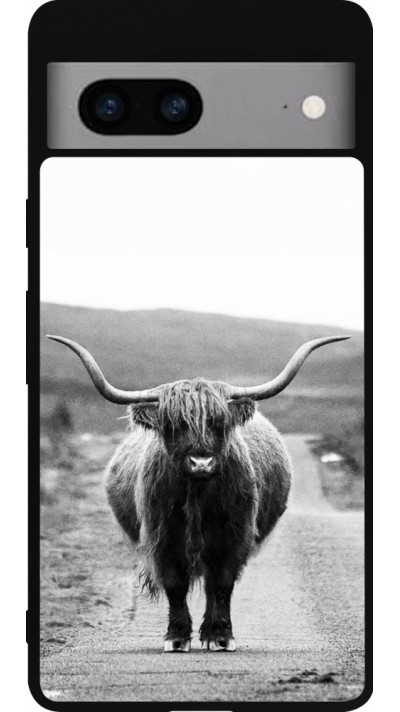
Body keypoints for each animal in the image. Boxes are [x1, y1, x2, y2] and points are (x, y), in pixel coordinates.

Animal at [47, 334, 348, 652]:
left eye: (218, 422)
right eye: (173, 424)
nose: (201, 462)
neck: (198, 494)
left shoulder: (234, 536)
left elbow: (222, 584)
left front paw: (220, 635)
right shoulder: (162, 537)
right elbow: (175, 584)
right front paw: (177, 637)